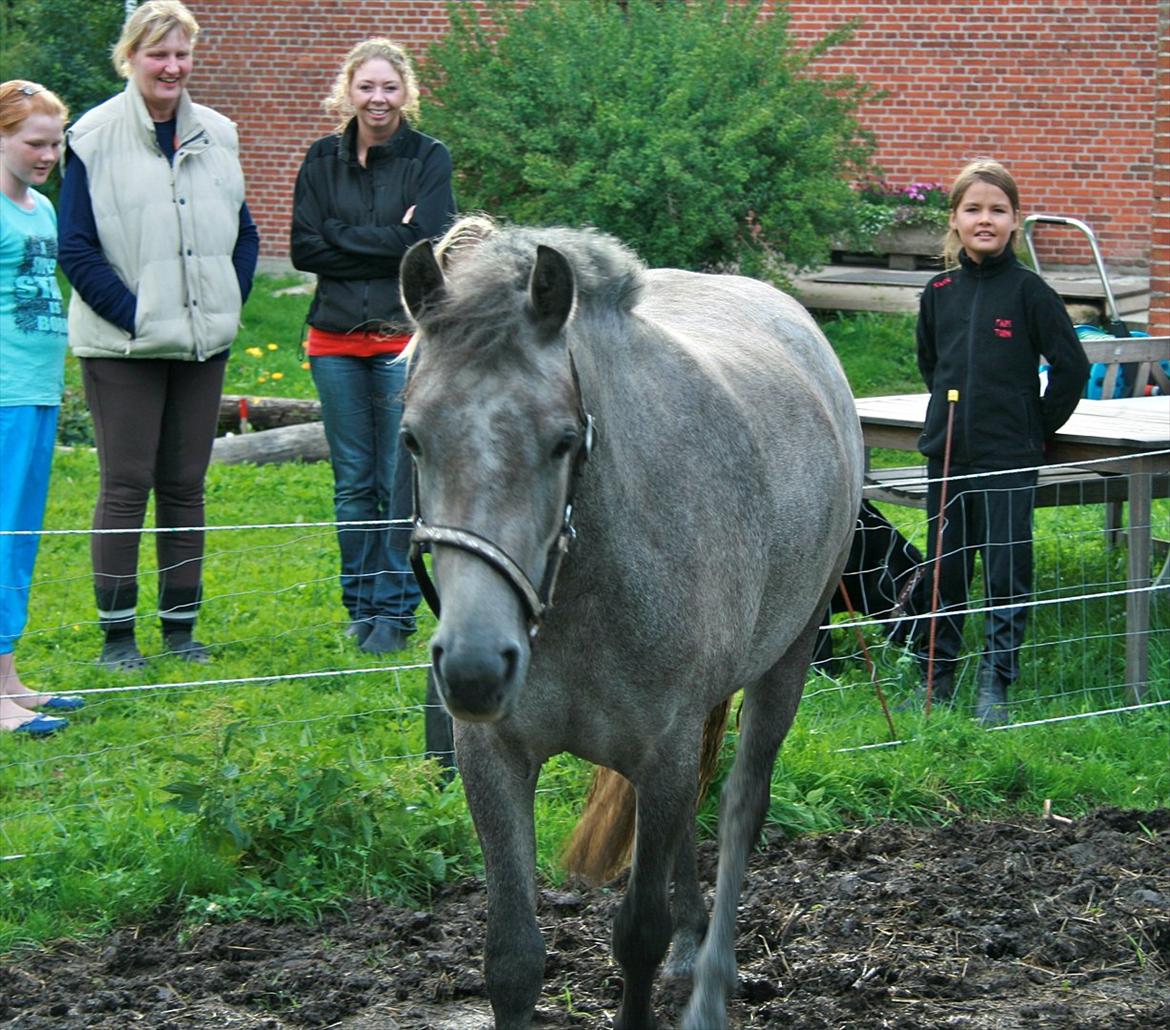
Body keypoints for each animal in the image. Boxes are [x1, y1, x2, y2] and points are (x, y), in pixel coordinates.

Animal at [397, 218, 865, 1030]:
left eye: (562, 439)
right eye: (413, 439)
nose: (475, 668)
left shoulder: (662, 754)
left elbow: (638, 935)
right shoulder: (493, 758)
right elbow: (513, 959)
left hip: (788, 659)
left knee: (739, 806)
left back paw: (710, 984)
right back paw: (692, 947)